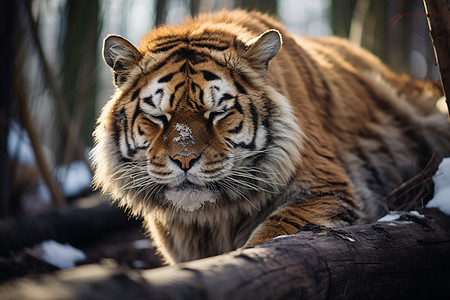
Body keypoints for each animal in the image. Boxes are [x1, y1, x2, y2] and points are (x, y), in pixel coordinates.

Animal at [91, 8, 450, 262]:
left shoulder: (328, 188)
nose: (184, 160)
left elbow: (274, 233)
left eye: (217, 113)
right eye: (159, 117)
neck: (211, 218)